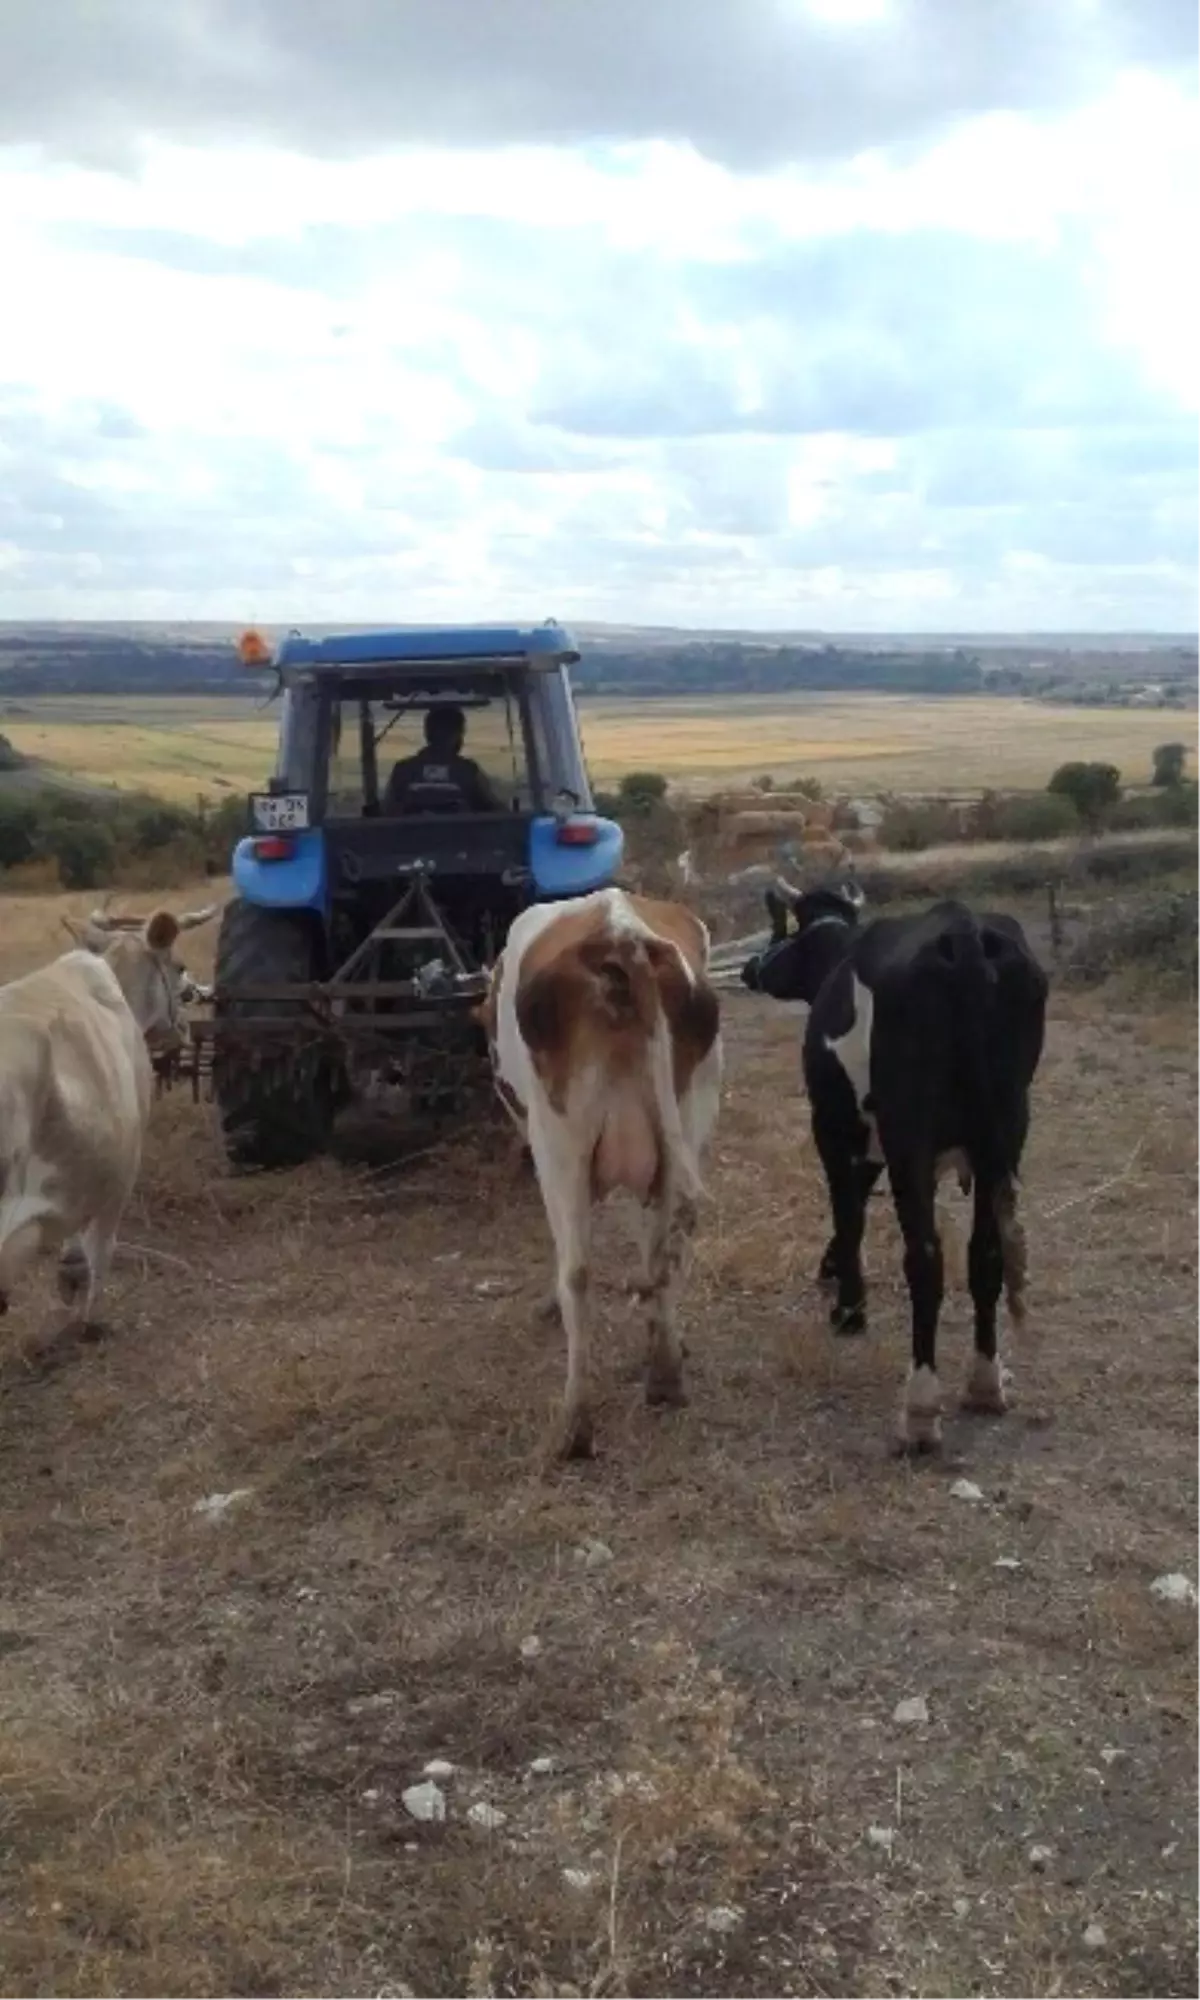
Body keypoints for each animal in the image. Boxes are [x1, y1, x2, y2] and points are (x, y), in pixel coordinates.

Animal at [480, 888, 720, 1456]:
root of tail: (622, 934)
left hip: (559, 1142)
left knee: (579, 1273)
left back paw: (575, 1423)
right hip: (687, 1123)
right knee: (667, 1253)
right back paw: (666, 1376)